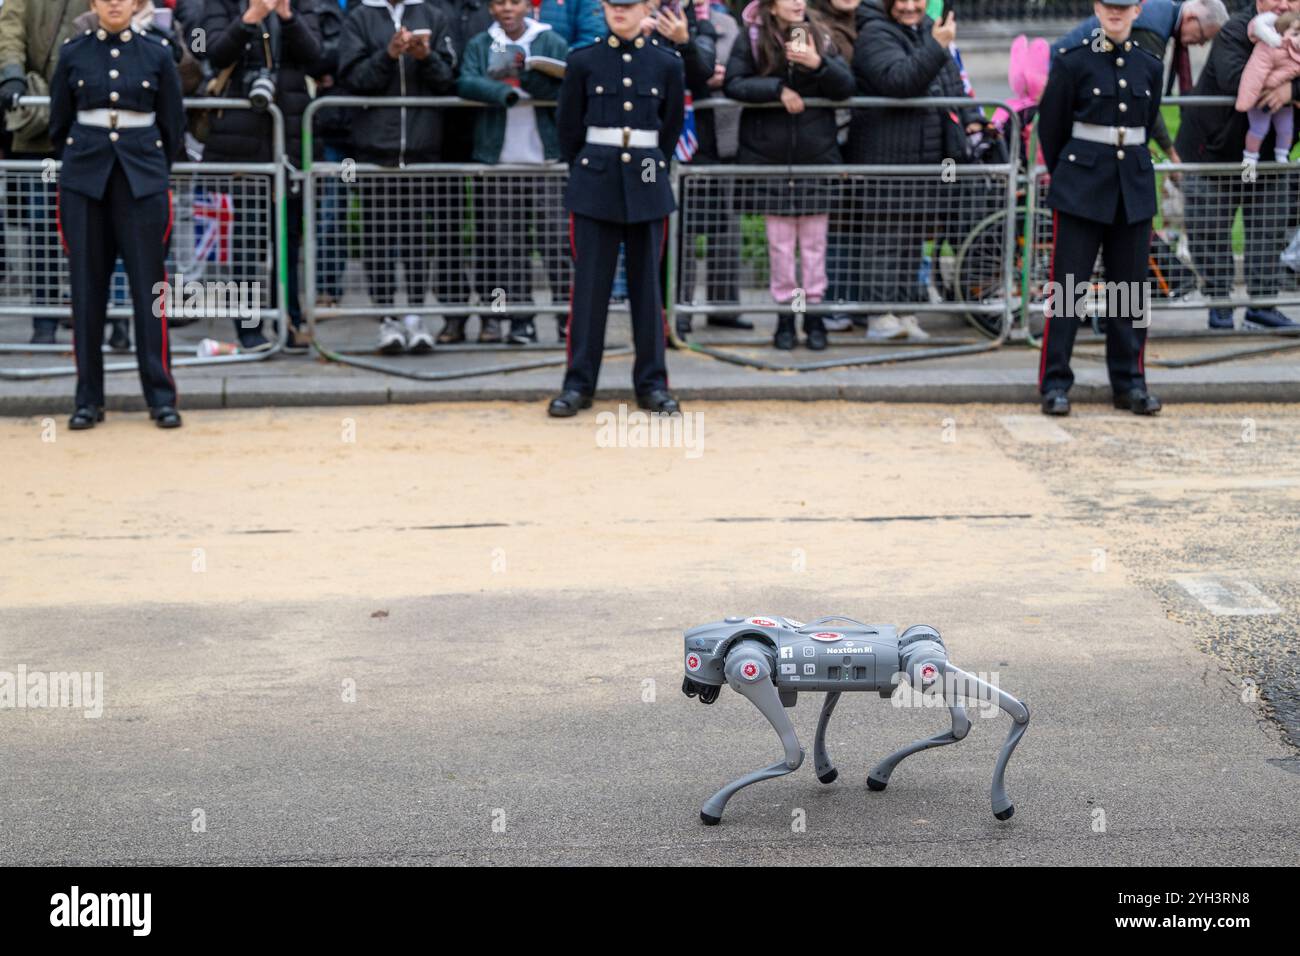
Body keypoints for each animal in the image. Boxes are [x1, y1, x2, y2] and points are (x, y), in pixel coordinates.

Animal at [686, 616, 1029, 827]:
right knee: (960, 723)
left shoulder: (751, 669)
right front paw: (825, 769)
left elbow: (793, 754)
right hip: (929, 669)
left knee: (1011, 712)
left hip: (924, 669)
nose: (692, 687)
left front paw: (713, 808)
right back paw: (881, 773)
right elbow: (816, 723)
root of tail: (919, 641)